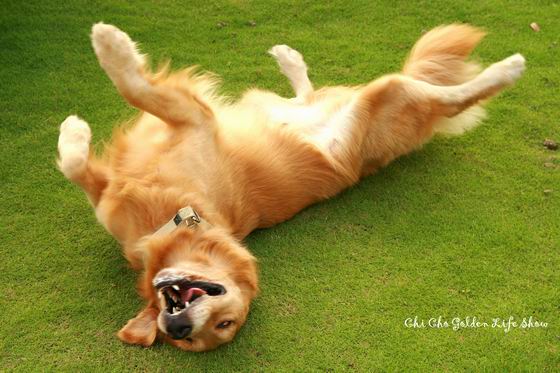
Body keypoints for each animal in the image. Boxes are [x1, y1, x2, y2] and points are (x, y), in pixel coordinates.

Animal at [57, 22, 524, 348]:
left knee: (453, 98)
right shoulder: (113, 191)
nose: (179, 325)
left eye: (224, 323)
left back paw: (507, 70)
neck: (177, 218)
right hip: (325, 101)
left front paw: (110, 47)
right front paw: (73, 132)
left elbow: (133, 86)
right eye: (183, 341)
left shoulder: (196, 119)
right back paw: (290, 61)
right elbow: (76, 166)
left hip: (387, 94)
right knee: (308, 95)